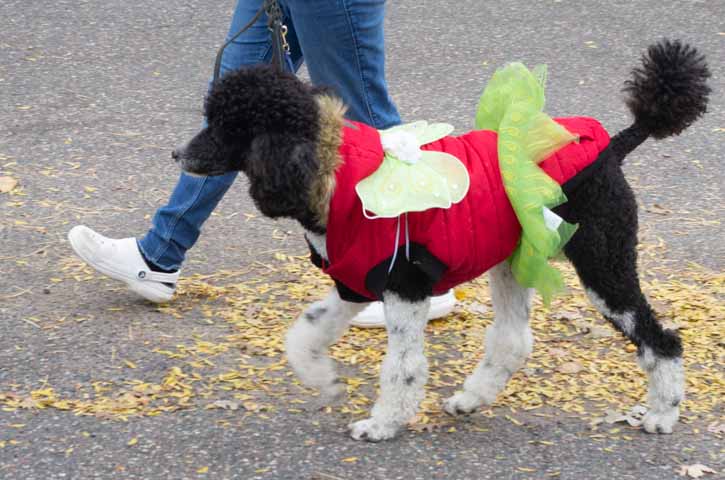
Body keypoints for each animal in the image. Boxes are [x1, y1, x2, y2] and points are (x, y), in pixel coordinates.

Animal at [174, 41, 708, 442]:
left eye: (227, 126)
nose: (178, 153)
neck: (333, 171)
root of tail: (613, 146)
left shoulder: (405, 286)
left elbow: (403, 368)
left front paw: (384, 424)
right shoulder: (356, 281)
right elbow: (304, 333)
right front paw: (322, 379)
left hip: (602, 260)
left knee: (661, 339)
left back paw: (662, 414)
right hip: (513, 261)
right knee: (512, 340)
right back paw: (471, 399)